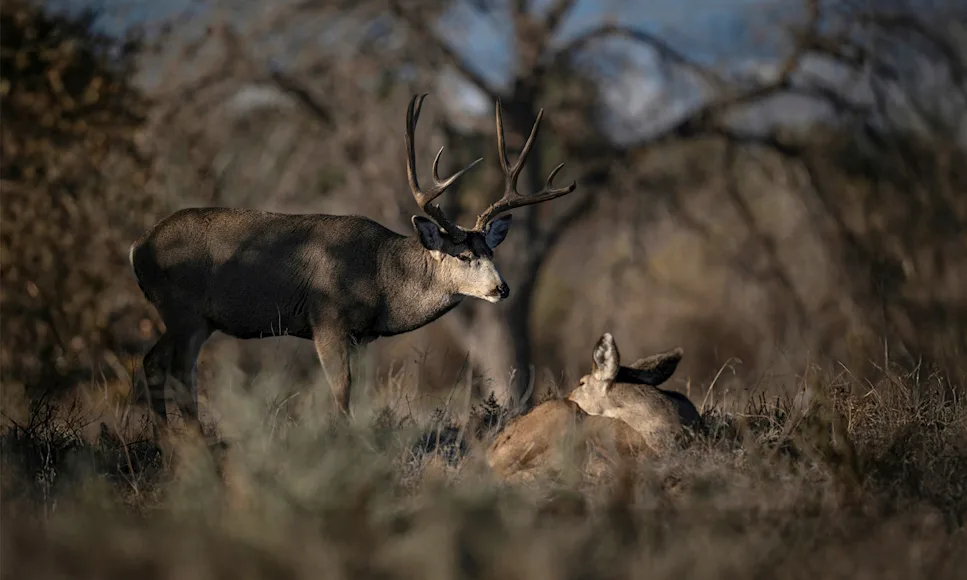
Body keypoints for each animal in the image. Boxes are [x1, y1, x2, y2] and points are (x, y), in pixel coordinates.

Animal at [129, 93, 578, 430]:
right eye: (465, 255)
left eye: (491, 252)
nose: (502, 288)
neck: (381, 275)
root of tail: (138, 247)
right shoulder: (325, 319)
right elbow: (341, 393)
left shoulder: (362, 335)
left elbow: (357, 392)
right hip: (184, 312)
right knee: (179, 375)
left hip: (192, 318)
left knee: (152, 364)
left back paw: (167, 443)